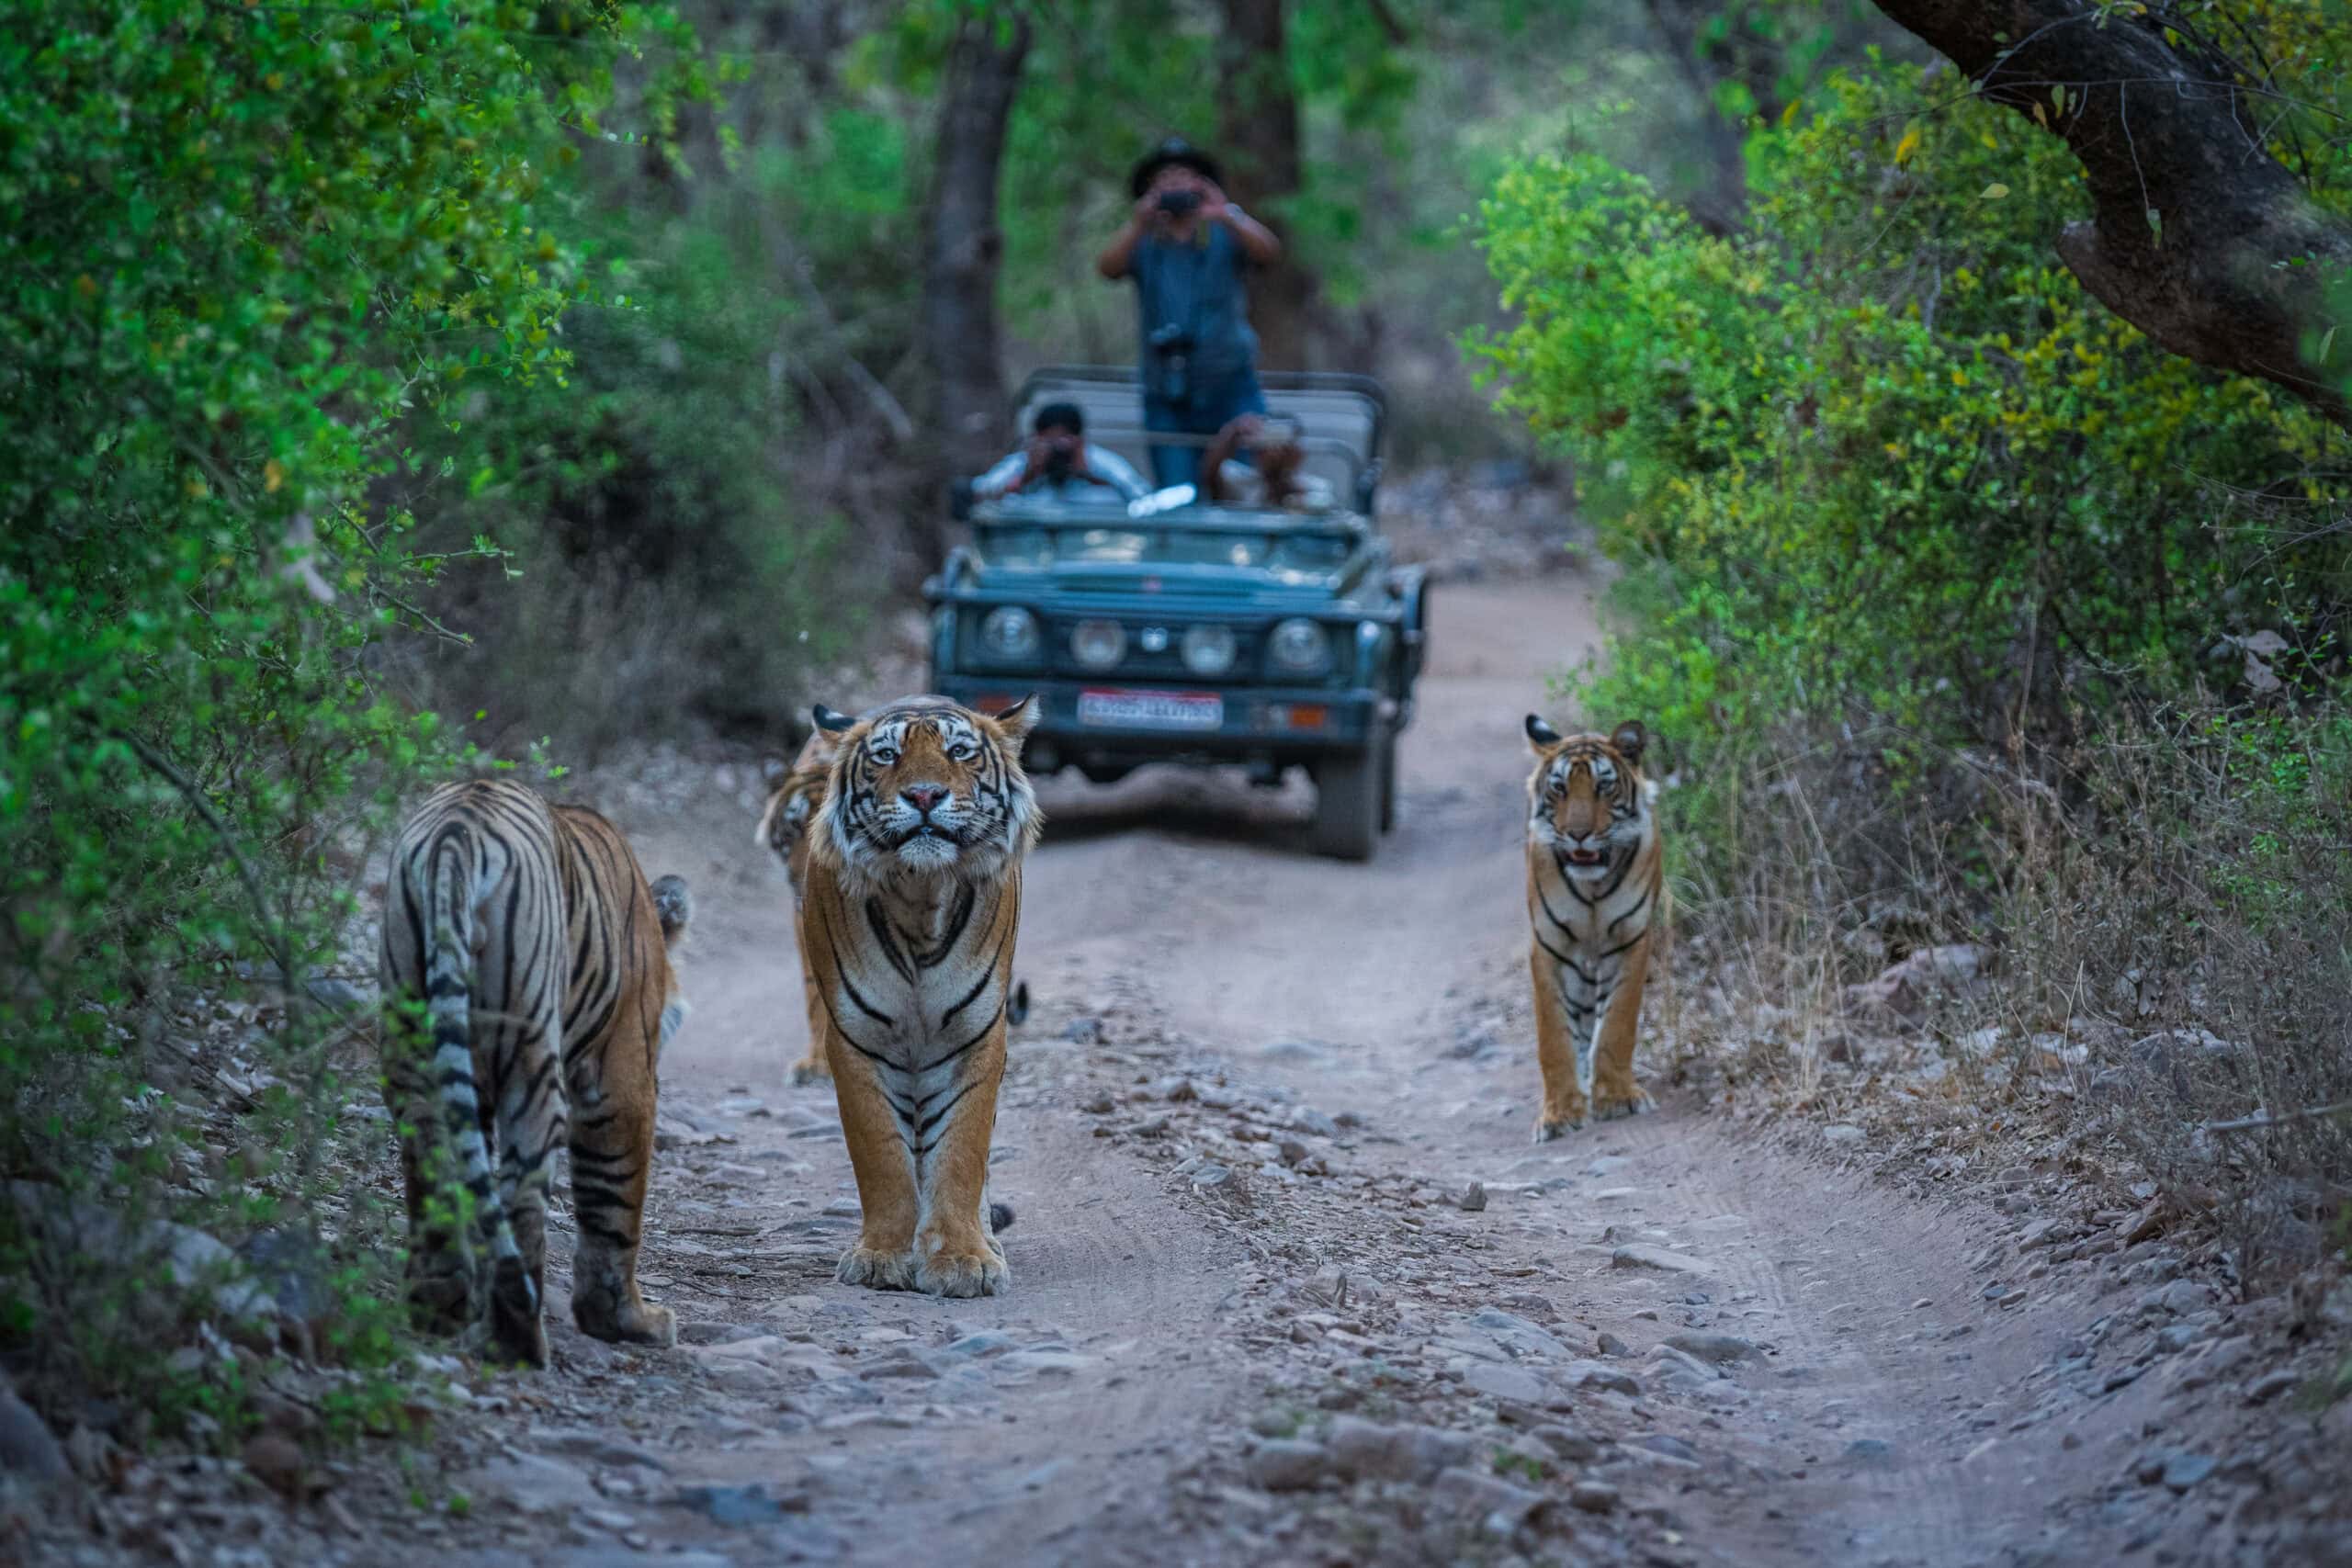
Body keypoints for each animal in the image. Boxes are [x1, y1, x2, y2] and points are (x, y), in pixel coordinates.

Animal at [376, 780, 686, 1363]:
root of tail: (457, 832)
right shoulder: (624, 1073)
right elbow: (614, 1200)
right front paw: (626, 1319)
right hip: (531, 1058)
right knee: (521, 1192)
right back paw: (518, 1336)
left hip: (411, 1032)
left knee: (430, 1153)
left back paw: (440, 1305)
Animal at [799, 695, 1039, 1297]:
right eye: (887, 756)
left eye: (959, 752)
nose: (925, 795)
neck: (920, 894)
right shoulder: (855, 1039)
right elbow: (881, 1153)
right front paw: (882, 1257)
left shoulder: (976, 1035)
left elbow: (961, 1151)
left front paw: (963, 1260)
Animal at [1514, 715, 1665, 1142]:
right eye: (1560, 789)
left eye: (1603, 786)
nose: (1578, 834)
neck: (1592, 887)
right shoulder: (1549, 947)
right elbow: (1554, 1037)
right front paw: (1560, 1113)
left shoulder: (1631, 940)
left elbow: (1617, 1024)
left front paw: (1616, 1098)